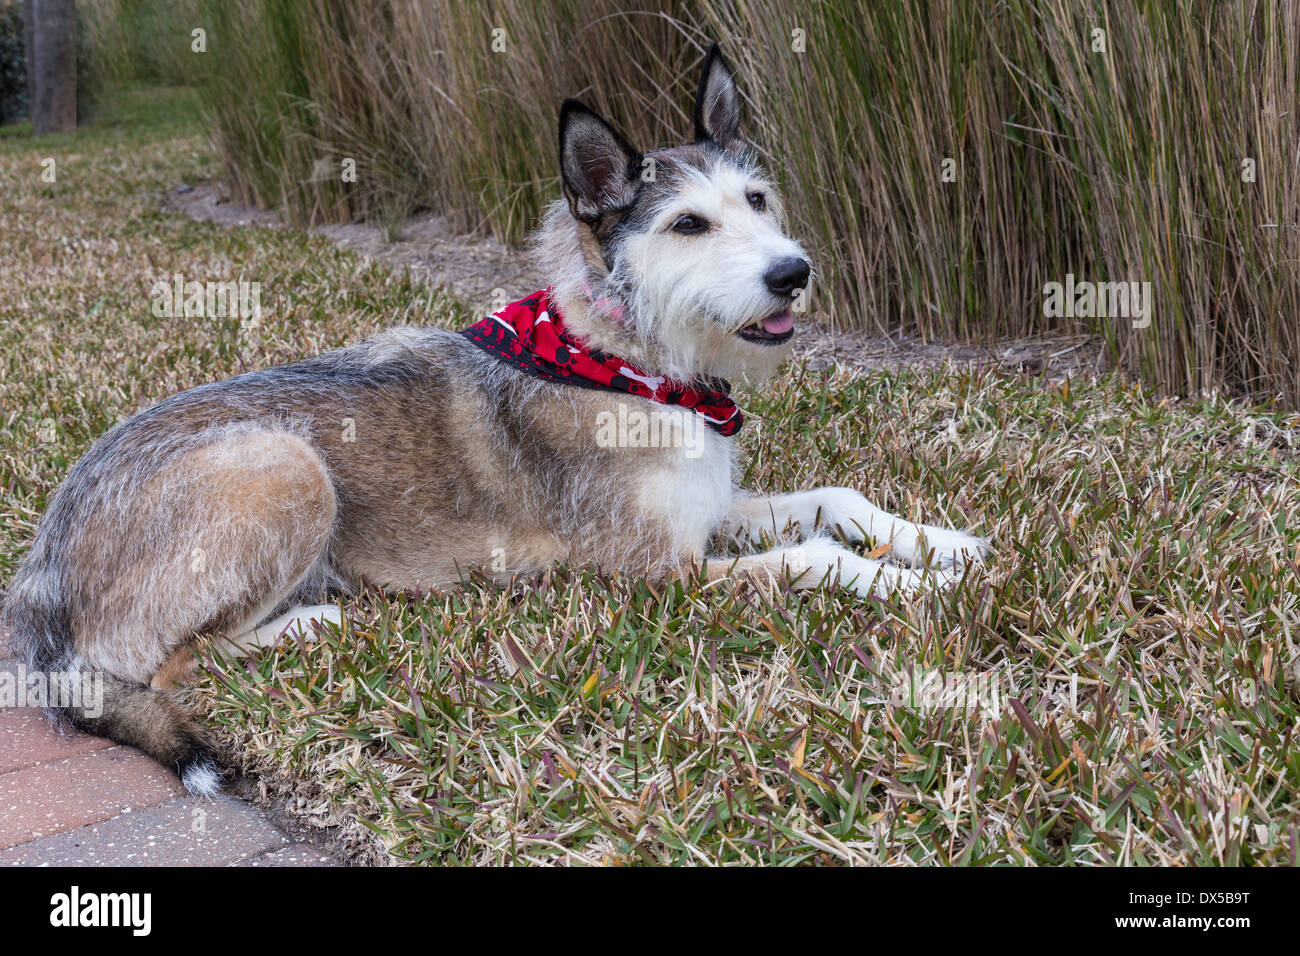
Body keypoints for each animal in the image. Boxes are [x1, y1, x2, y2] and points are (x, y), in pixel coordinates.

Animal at [0, 44, 982, 796]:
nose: (793, 272)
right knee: (168, 665)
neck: (627, 365)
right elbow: (814, 557)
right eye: (688, 225)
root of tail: (44, 567)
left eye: (757, 201)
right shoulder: (655, 570)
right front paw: (912, 586)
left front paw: (945, 545)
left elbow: (834, 500)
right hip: (282, 466)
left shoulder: (704, 516)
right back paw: (316, 622)